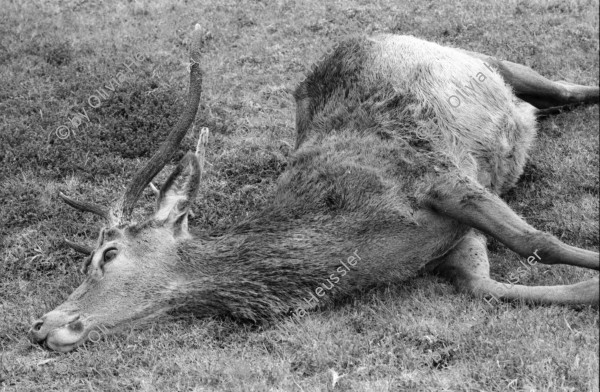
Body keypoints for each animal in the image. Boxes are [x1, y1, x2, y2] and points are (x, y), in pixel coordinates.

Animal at [30, 26, 596, 354]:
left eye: (107, 254)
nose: (41, 324)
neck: (363, 239)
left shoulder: (440, 177)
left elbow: (539, 242)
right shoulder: (453, 244)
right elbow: (485, 286)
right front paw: (589, 290)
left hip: (488, 60)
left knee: (569, 87)